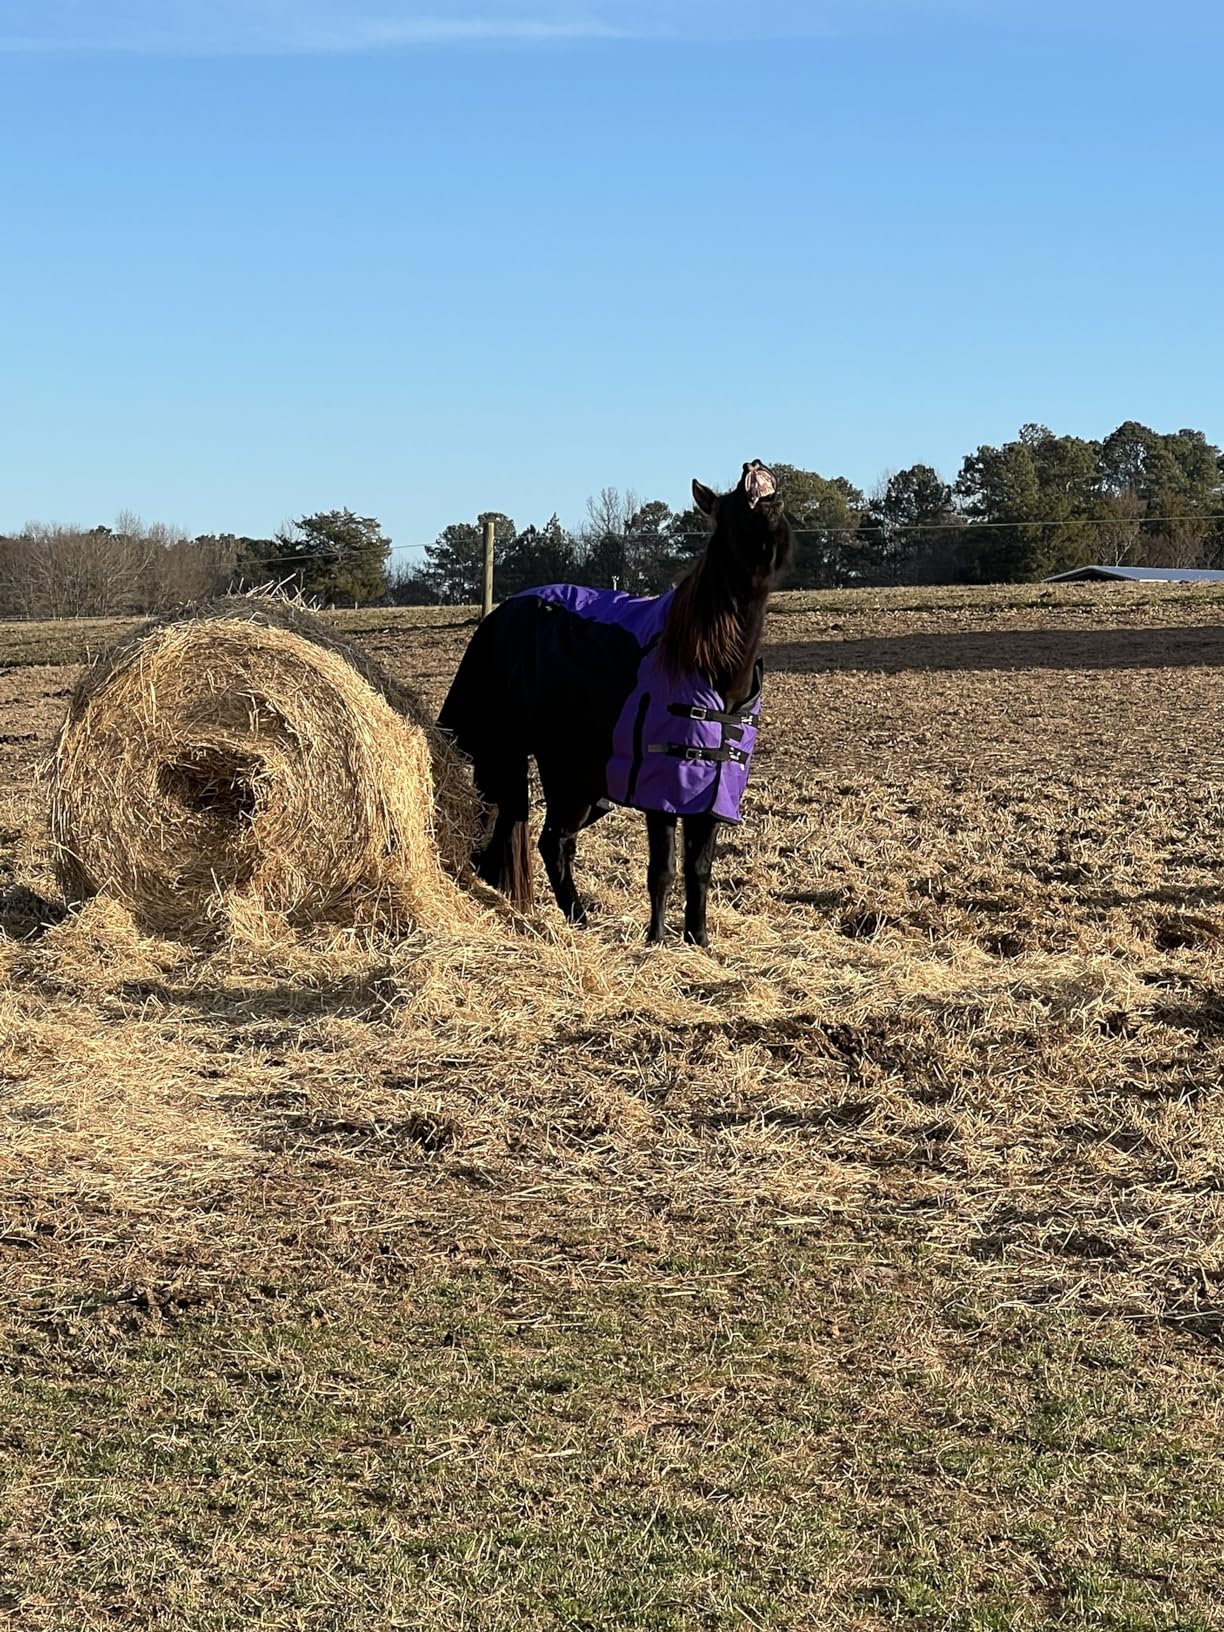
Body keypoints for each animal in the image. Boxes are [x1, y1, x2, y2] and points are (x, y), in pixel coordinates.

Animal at [437, 460, 793, 945]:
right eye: (729, 505)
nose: (752, 465)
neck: (710, 665)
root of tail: (497, 616)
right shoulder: (660, 793)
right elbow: (662, 870)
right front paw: (656, 941)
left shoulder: (711, 795)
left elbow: (699, 870)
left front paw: (699, 942)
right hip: (506, 758)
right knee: (511, 832)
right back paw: (574, 919)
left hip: (577, 781)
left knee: (547, 840)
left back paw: (572, 919)